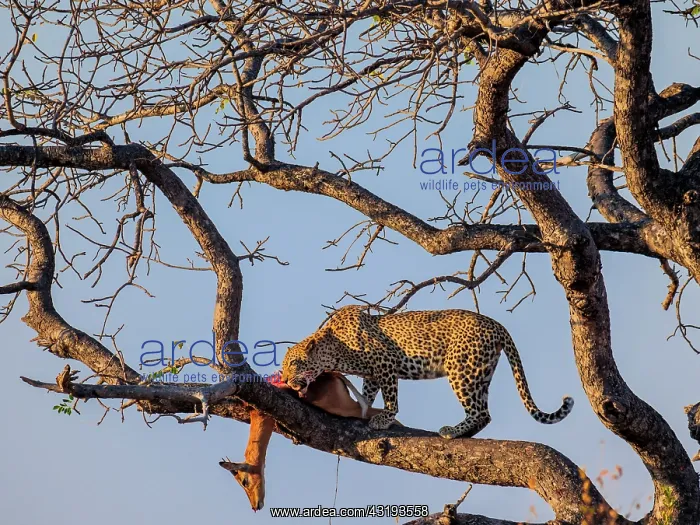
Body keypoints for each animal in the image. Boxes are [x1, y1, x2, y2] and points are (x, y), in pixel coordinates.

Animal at [281, 305, 574, 439]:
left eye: (293, 364)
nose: (283, 378)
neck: (335, 349)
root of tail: (497, 325)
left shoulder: (385, 363)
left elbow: (391, 397)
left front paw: (384, 418)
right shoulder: (373, 373)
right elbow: (368, 392)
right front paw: (362, 407)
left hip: (461, 368)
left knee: (480, 411)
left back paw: (452, 431)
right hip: (480, 371)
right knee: (484, 412)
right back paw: (463, 432)